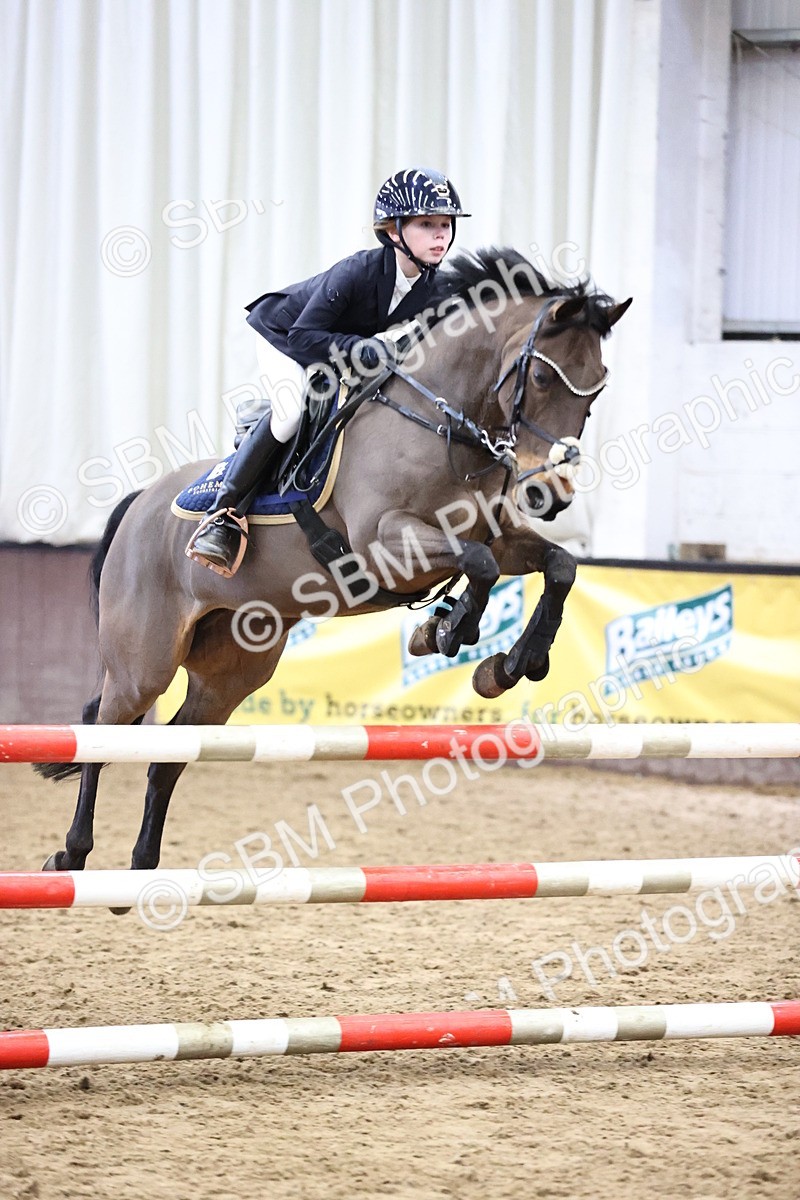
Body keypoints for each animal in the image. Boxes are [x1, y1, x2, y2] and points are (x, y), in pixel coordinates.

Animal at [39, 248, 630, 874]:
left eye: (594, 395)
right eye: (540, 377)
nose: (551, 494)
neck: (444, 424)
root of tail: (139, 503)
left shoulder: (498, 536)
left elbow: (557, 566)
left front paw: (512, 663)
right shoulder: (386, 543)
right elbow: (479, 566)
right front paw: (447, 632)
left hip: (232, 668)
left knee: (169, 753)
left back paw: (142, 867)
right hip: (143, 663)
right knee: (102, 729)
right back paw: (71, 856)